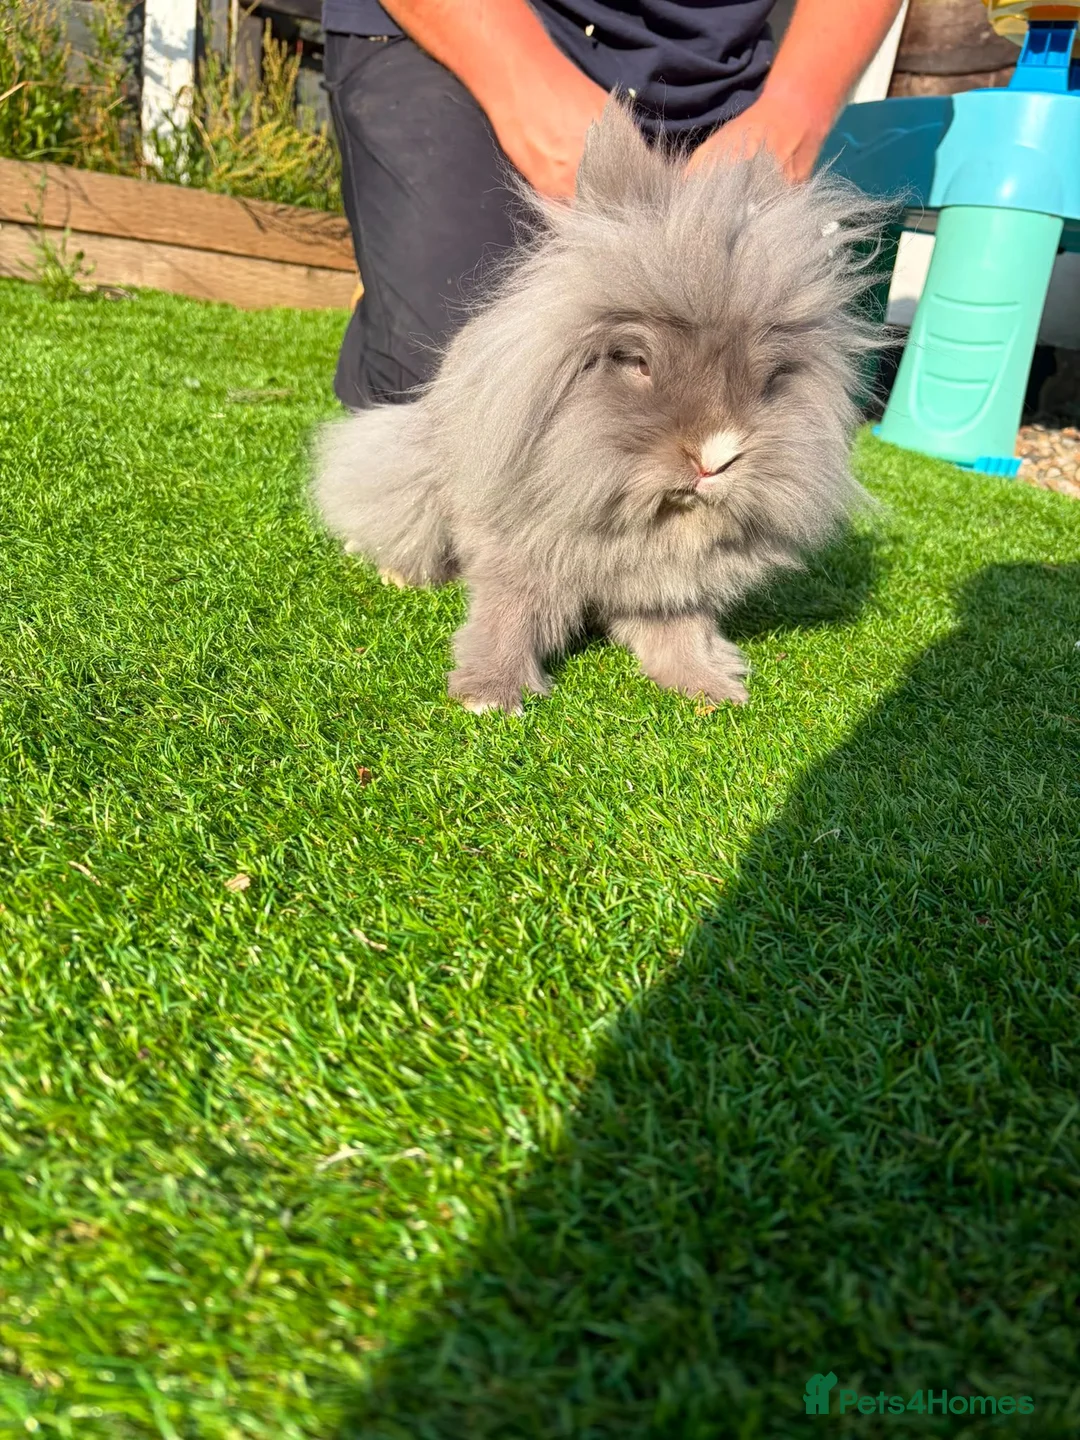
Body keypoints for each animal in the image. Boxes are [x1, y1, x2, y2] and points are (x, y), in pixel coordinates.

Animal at [313, 98, 885, 715]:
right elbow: (508, 617)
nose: (715, 457)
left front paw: (710, 690)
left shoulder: (670, 589)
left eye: (771, 379)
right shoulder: (518, 556)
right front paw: (490, 696)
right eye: (636, 361)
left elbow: (681, 632)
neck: (651, 524)